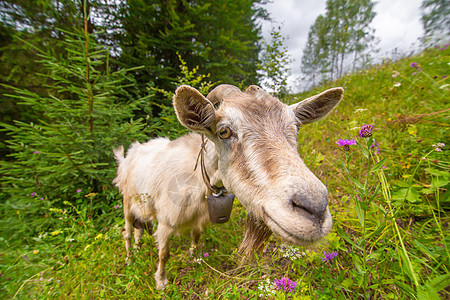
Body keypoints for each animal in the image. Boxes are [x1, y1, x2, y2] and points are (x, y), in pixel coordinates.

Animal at [114, 83, 342, 290]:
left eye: (296, 128)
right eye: (223, 131)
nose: (315, 208)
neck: (195, 181)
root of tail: (129, 154)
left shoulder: (200, 218)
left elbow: (196, 238)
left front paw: (195, 259)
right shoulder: (166, 221)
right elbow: (164, 253)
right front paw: (161, 283)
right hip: (126, 200)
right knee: (127, 231)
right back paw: (129, 258)